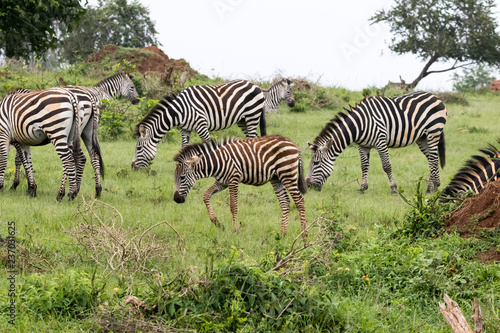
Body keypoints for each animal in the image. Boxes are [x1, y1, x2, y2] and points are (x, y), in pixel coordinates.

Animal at [10, 72, 139, 197]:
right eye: (132, 87)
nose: (137, 100)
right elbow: (20, 159)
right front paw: (24, 185)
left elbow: (19, 159)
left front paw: (22, 186)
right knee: (90, 157)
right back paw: (93, 190)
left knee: (75, 158)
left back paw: (69, 191)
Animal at [132, 80, 266, 169]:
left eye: (138, 148)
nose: (132, 167)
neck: (179, 111)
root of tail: (255, 85)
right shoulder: (185, 129)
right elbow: (184, 147)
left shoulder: (201, 125)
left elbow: (207, 144)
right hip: (243, 120)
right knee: (254, 138)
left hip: (252, 115)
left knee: (253, 138)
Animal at [173, 134, 308, 235]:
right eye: (174, 179)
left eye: (182, 177)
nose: (176, 199)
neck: (217, 162)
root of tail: (293, 144)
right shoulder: (222, 182)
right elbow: (206, 195)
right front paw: (217, 223)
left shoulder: (233, 179)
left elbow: (233, 205)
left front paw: (235, 229)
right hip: (276, 178)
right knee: (285, 201)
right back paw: (283, 233)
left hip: (287, 174)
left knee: (299, 200)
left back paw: (304, 234)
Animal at [306, 91, 448, 195]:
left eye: (316, 163)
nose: (308, 186)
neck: (358, 126)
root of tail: (434, 96)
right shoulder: (362, 145)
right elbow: (364, 166)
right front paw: (363, 188)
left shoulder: (380, 142)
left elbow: (386, 166)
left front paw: (393, 189)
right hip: (422, 137)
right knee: (432, 159)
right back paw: (435, 185)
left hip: (433, 132)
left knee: (433, 159)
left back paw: (429, 189)